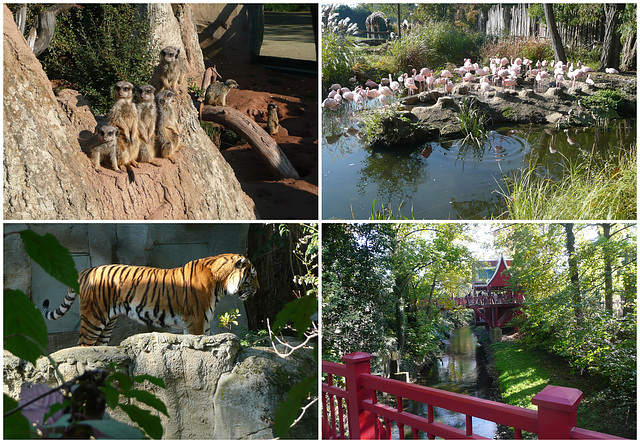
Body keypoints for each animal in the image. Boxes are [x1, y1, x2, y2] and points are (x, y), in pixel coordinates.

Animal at [41, 253, 258, 346]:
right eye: (253, 275)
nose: (258, 289)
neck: (220, 283)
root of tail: (86, 271)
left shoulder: (203, 323)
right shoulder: (195, 322)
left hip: (107, 322)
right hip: (93, 317)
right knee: (82, 346)